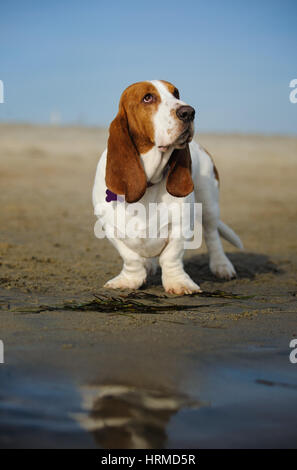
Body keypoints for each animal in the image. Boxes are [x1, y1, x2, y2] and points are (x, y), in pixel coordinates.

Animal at [93, 80, 243, 294]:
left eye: (176, 93)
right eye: (147, 97)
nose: (189, 112)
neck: (149, 180)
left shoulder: (181, 225)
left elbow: (171, 256)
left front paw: (179, 283)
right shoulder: (110, 228)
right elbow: (131, 258)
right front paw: (129, 280)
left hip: (209, 203)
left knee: (212, 234)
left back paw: (221, 266)